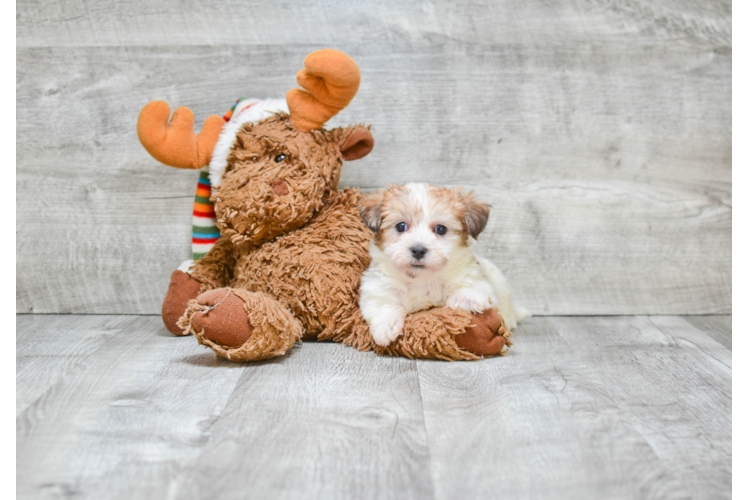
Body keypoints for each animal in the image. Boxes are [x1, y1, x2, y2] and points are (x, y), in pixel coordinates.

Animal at [358, 183, 524, 348]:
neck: (422, 279)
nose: (418, 250)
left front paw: (465, 298)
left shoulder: (474, 277)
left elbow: (475, 289)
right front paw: (386, 326)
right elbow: (381, 305)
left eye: (441, 229)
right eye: (401, 226)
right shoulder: (378, 287)